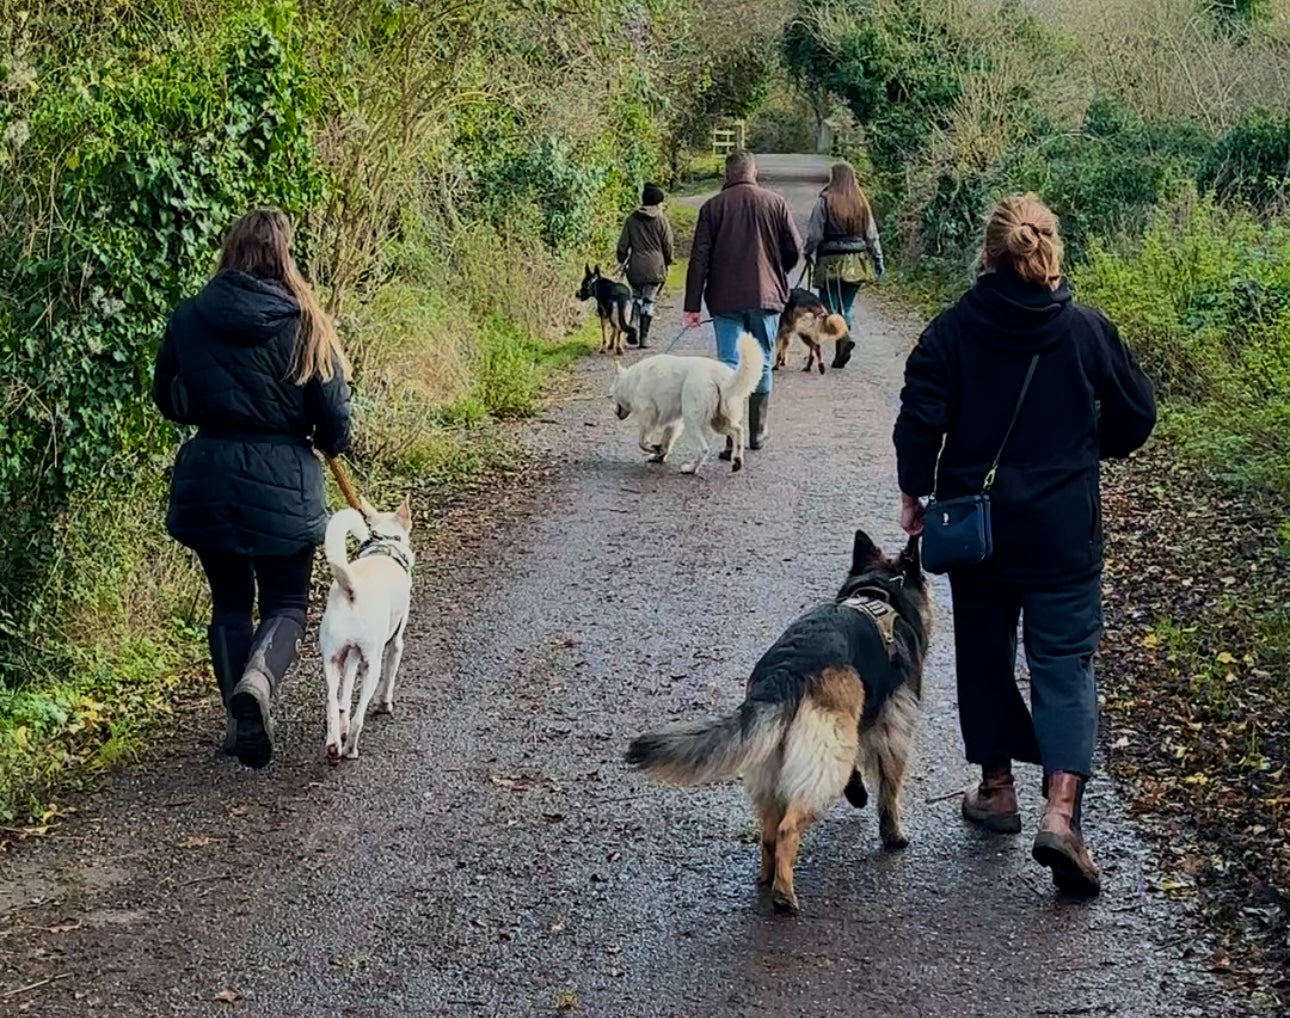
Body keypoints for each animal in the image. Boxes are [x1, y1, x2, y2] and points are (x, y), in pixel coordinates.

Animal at [317, 503, 412, 758]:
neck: (385, 546)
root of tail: (352, 590)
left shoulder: (351, 655)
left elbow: (344, 696)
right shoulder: (396, 644)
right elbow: (389, 679)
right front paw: (385, 705)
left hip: (332, 660)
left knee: (332, 703)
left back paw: (334, 745)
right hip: (373, 664)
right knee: (358, 717)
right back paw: (350, 749)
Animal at [606, 332, 758, 477]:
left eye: (611, 395)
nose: (614, 412)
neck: (631, 381)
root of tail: (720, 376)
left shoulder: (647, 414)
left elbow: (642, 442)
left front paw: (654, 448)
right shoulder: (673, 421)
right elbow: (666, 441)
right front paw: (659, 454)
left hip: (692, 419)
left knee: (704, 449)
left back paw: (691, 469)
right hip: (718, 421)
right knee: (738, 430)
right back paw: (737, 460)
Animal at [624, 531, 928, 913]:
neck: (878, 593)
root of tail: (786, 671)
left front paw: (858, 792)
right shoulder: (891, 728)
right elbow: (890, 789)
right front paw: (893, 835)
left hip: (778, 759)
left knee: (769, 829)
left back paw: (768, 877)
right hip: (823, 764)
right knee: (786, 828)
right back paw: (784, 893)